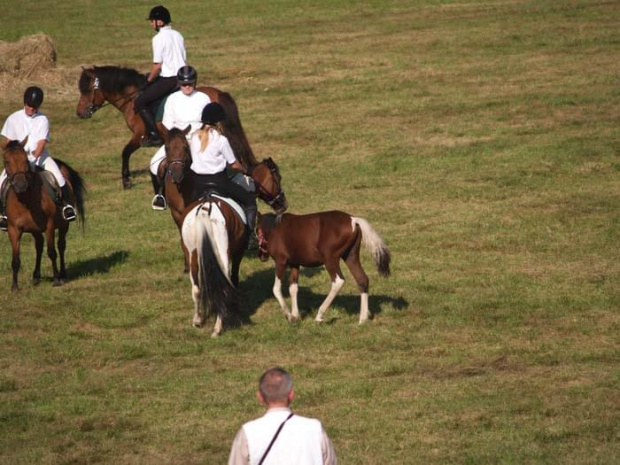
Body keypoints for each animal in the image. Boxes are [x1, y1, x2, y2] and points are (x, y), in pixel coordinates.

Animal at [1, 140, 86, 290]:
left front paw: (56, 280)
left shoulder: (49, 226)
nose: (20, 185)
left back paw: (62, 273)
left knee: (61, 245)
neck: (26, 201)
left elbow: (52, 252)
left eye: (25, 159)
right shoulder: (13, 229)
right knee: (39, 246)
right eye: (6, 161)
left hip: (64, 225)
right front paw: (14, 287)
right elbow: (15, 259)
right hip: (34, 229)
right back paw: (36, 276)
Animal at [75, 65, 256, 188]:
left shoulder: (138, 136)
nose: (79, 113)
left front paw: (126, 180)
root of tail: (219, 94)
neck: (131, 98)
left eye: (86, 90)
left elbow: (125, 152)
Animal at [256, 210, 392, 322]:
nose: (261, 256)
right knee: (362, 280)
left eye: (257, 231)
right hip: (350, 257)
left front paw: (289, 316)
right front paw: (295, 316)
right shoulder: (295, 264)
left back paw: (320, 315)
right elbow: (293, 288)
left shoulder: (281, 262)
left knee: (338, 281)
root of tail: (353, 220)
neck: (275, 228)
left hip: (330, 260)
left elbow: (276, 289)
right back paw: (362, 319)